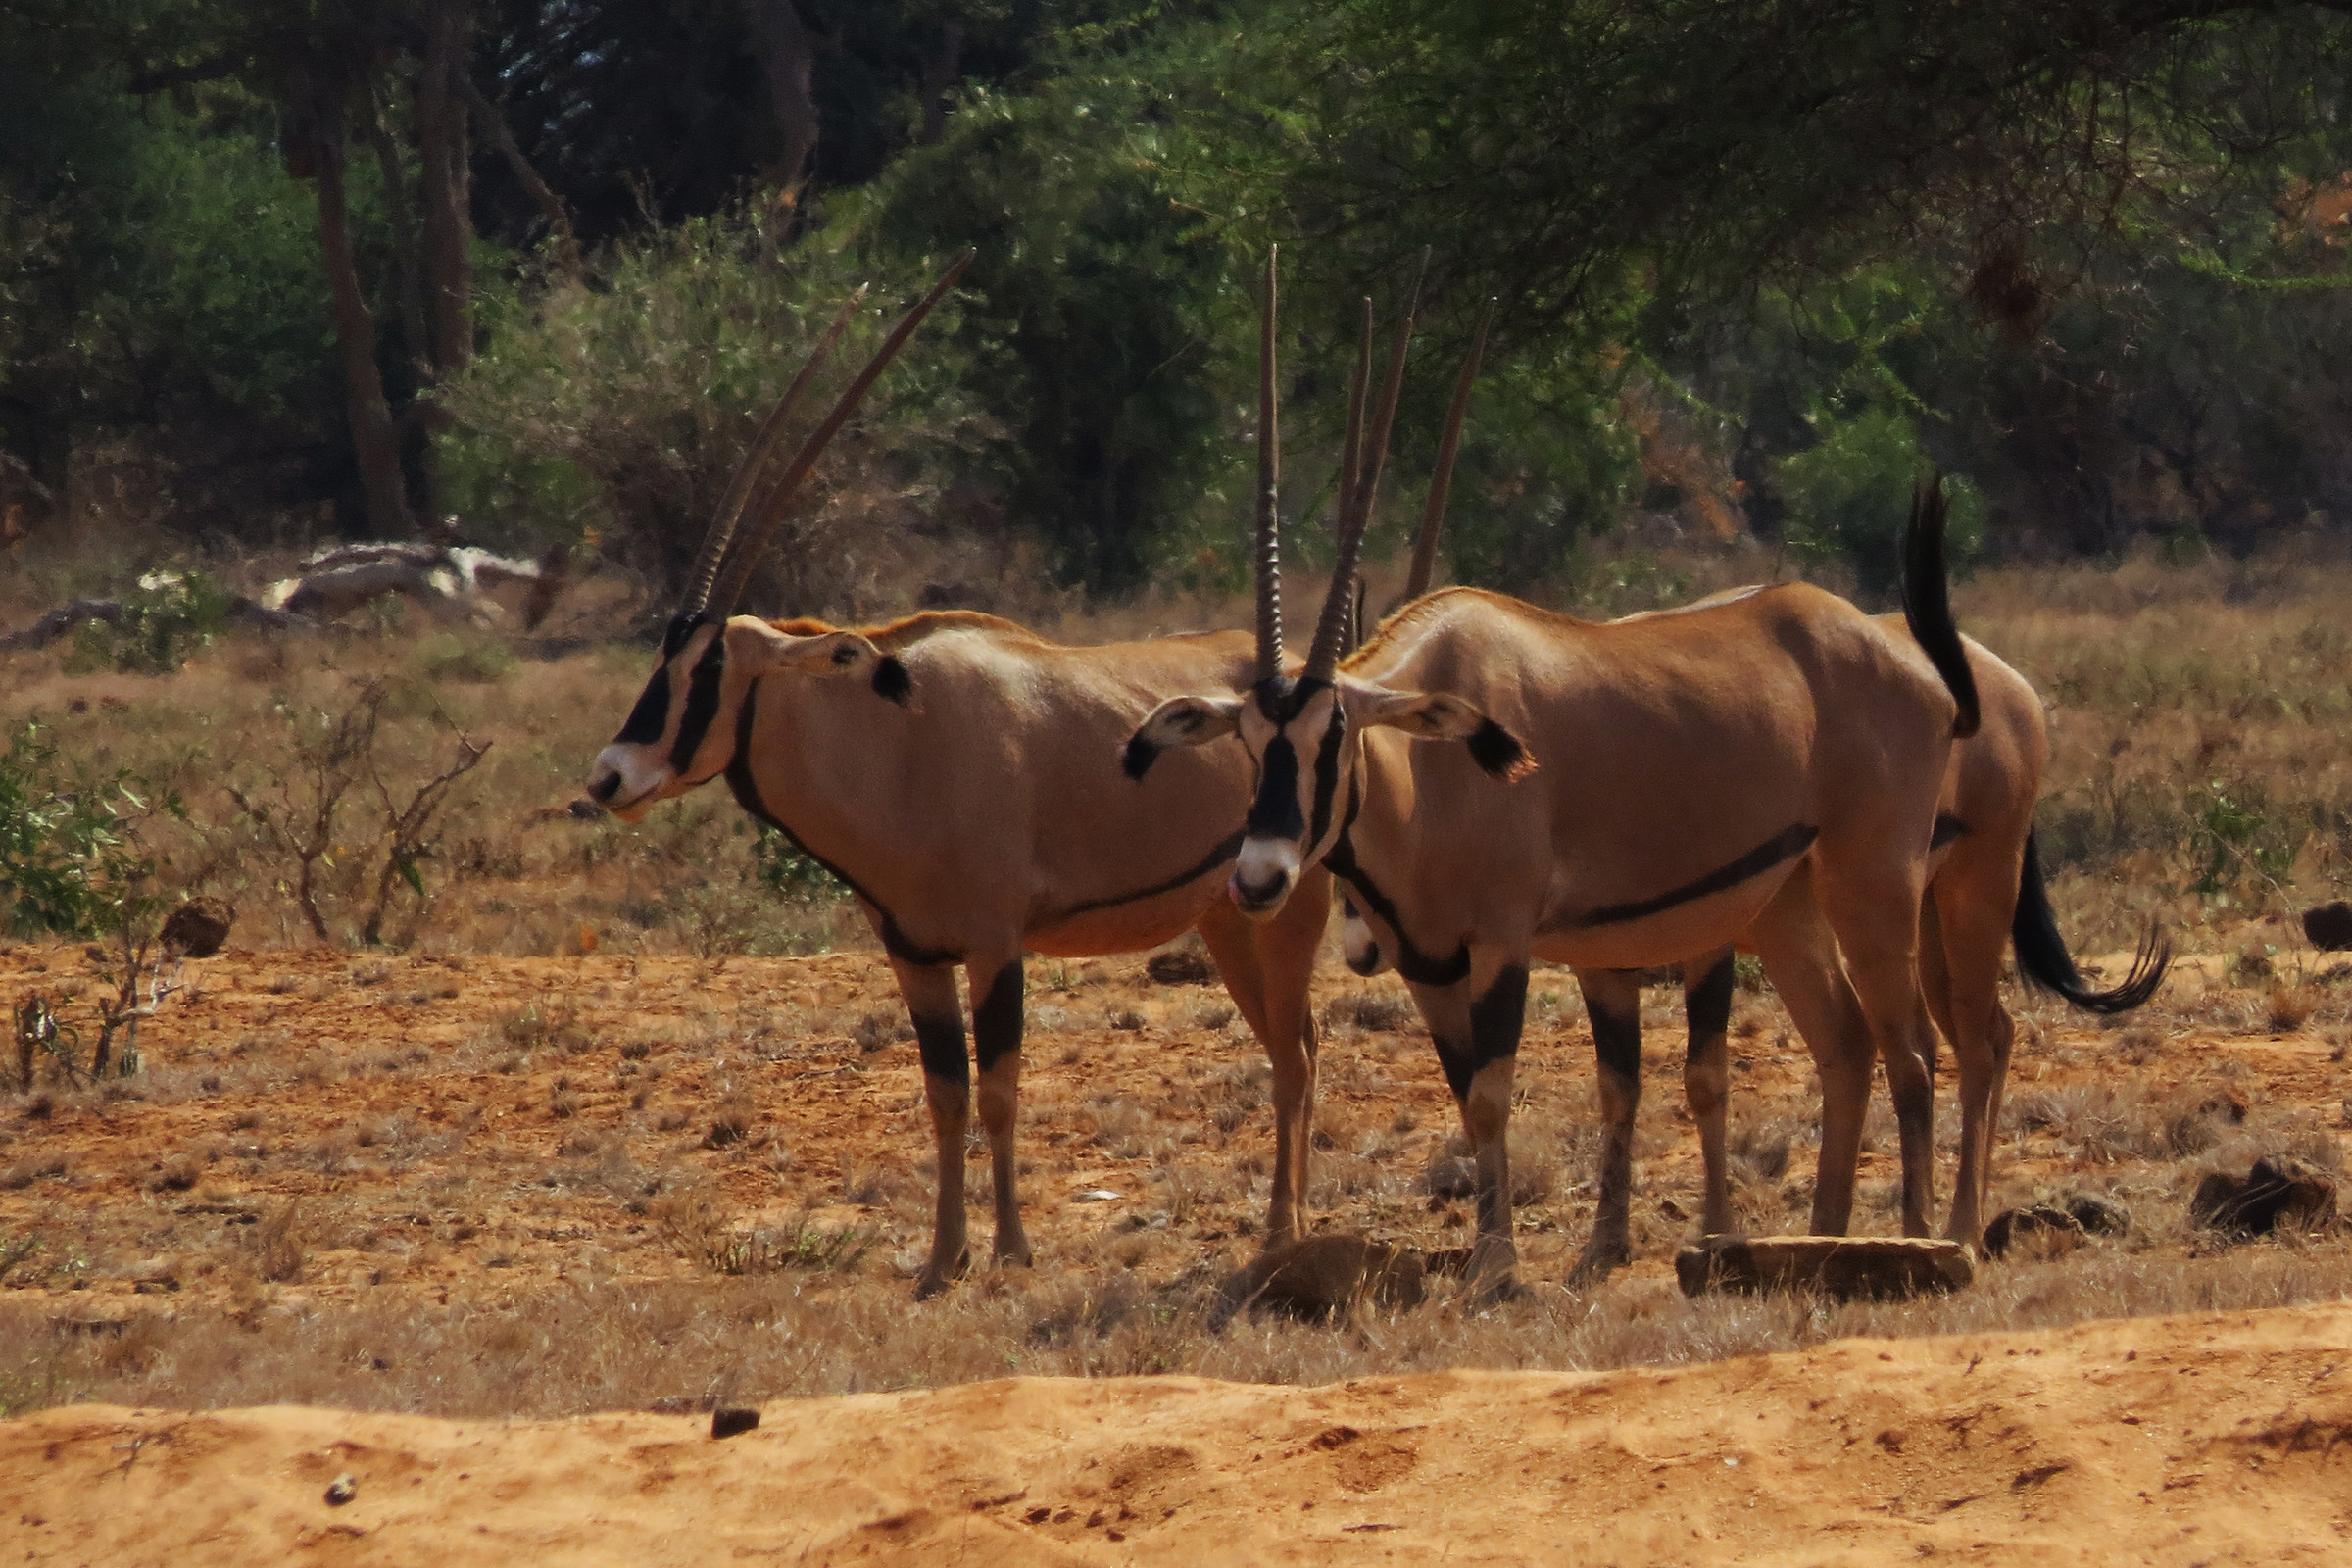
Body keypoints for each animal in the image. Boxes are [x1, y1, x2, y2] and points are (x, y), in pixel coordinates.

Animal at [582, 255, 1338, 1297]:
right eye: (662, 658)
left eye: (707, 671)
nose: (611, 777)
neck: (900, 742)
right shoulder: (915, 953)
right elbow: (944, 1097)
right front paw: (943, 1258)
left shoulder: (994, 944)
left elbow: (1002, 1091)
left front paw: (1012, 1248)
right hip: (1229, 919)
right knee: (1285, 1042)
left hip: (1293, 910)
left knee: (1298, 1052)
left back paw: (1283, 1232)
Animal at [1128, 350, 1983, 1294]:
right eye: (1246, 739)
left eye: (1336, 734)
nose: (1258, 878)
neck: (1426, 774)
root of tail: (1911, 664)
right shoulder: (1431, 964)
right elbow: (1482, 1096)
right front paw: (1546, 1250)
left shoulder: (1503, 944)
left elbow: (1495, 1095)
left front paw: (1497, 1265)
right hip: (1786, 903)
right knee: (1847, 1044)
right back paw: (1824, 1239)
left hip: (1874, 882)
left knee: (1912, 1051)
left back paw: (1917, 1238)